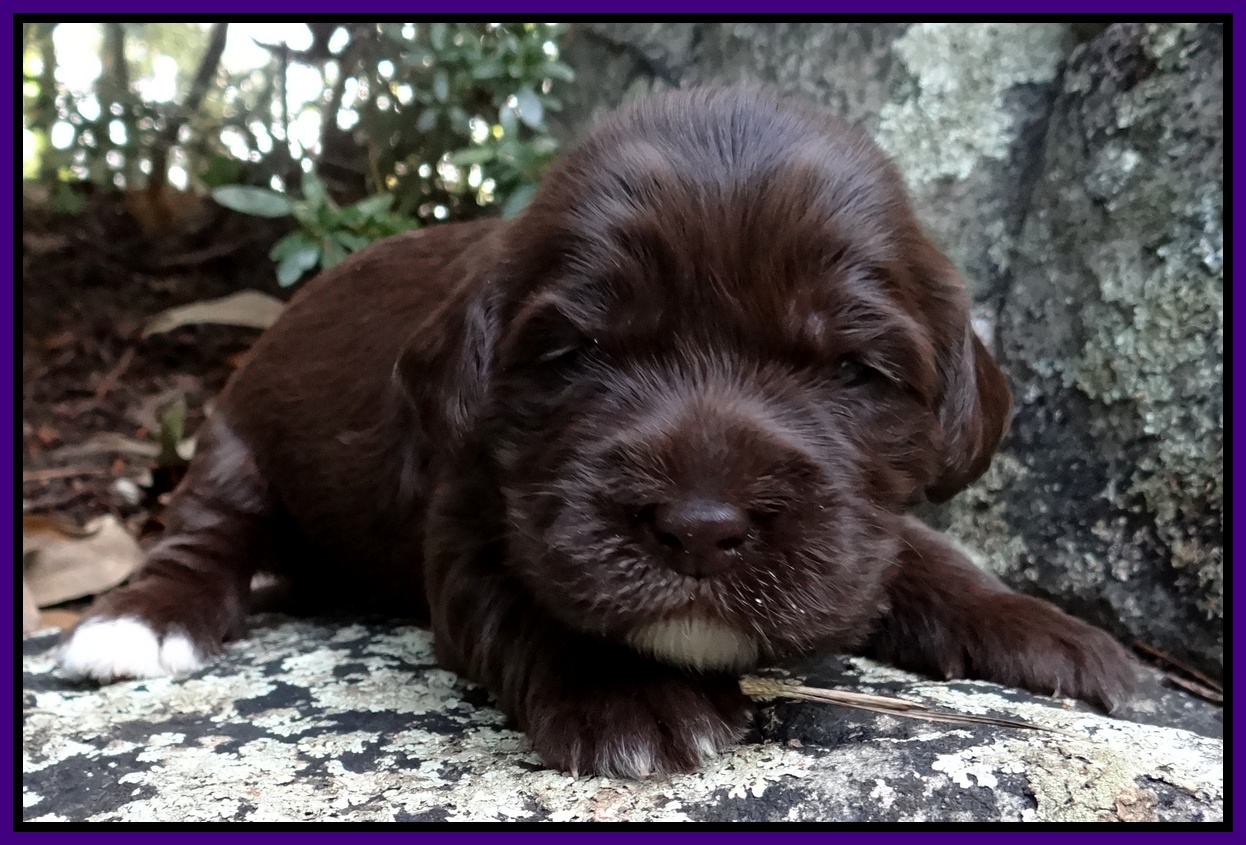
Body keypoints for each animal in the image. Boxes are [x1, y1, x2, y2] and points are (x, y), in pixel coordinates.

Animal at [60, 88, 1135, 778]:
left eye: (852, 371)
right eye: (577, 354)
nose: (701, 527)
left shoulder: (859, 522)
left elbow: (923, 553)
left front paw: (1054, 634)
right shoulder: (475, 511)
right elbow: (530, 601)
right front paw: (633, 694)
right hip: (234, 441)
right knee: (209, 535)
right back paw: (136, 622)